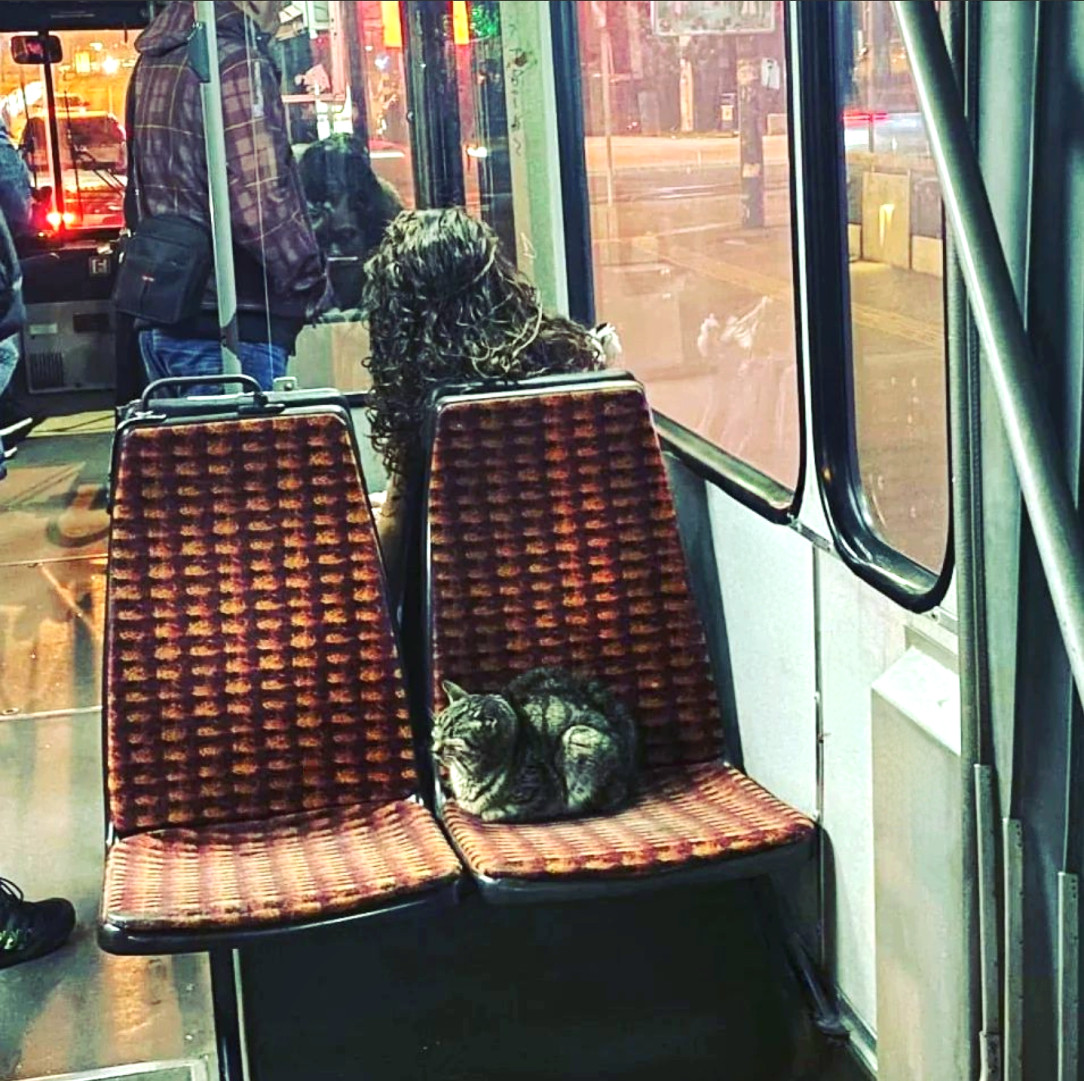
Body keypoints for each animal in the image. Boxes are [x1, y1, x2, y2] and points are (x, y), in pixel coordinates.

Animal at [429, 663, 637, 824]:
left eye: (452, 738)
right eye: (436, 731)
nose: (434, 750)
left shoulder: (543, 794)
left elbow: (508, 810)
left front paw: (491, 811)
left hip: (577, 737)